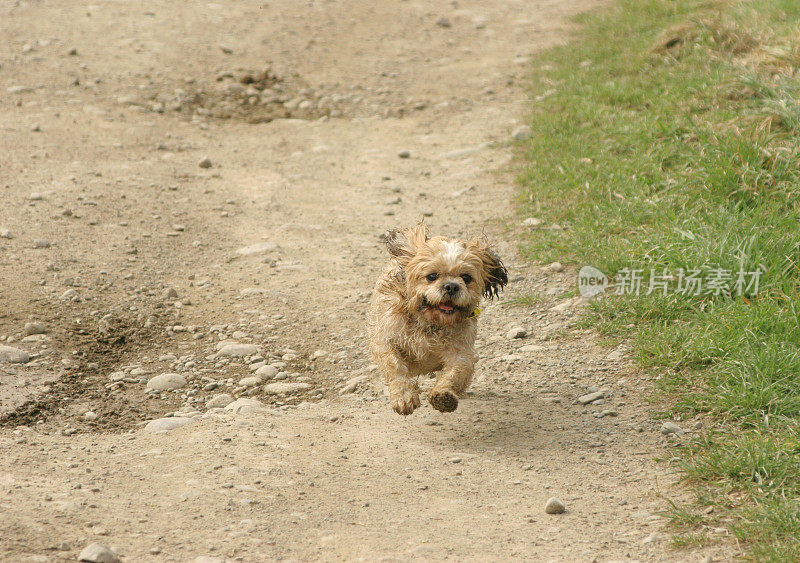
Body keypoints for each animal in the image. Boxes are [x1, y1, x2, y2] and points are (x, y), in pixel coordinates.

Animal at [368, 224, 506, 414]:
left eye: (466, 277)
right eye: (432, 276)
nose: (451, 286)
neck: (430, 322)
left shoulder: (460, 352)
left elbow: (455, 373)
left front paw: (443, 396)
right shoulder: (387, 338)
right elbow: (394, 365)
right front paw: (404, 396)